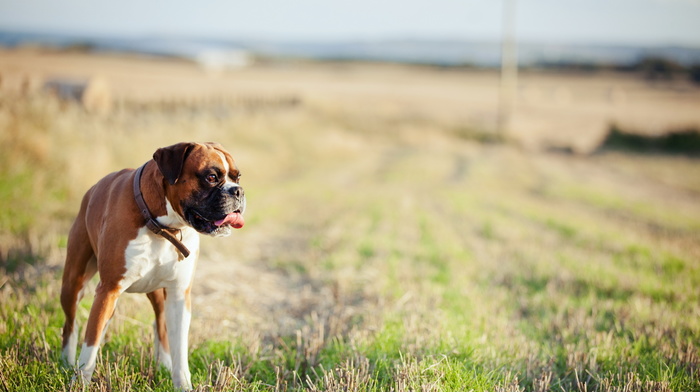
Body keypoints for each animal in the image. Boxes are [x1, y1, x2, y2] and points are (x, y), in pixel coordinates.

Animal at [60, 142, 246, 390]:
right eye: (211, 177)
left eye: (237, 177)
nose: (238, 191)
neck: (162, 227)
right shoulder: (108, 290)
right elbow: (90, 344)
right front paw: (79, 381)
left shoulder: (179, 296)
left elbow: (180, 349)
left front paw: (182, 383)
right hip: (73, 284)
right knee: (71, 326)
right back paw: (66, 361)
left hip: (158, 294)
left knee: (160, 326)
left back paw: (163, 364)